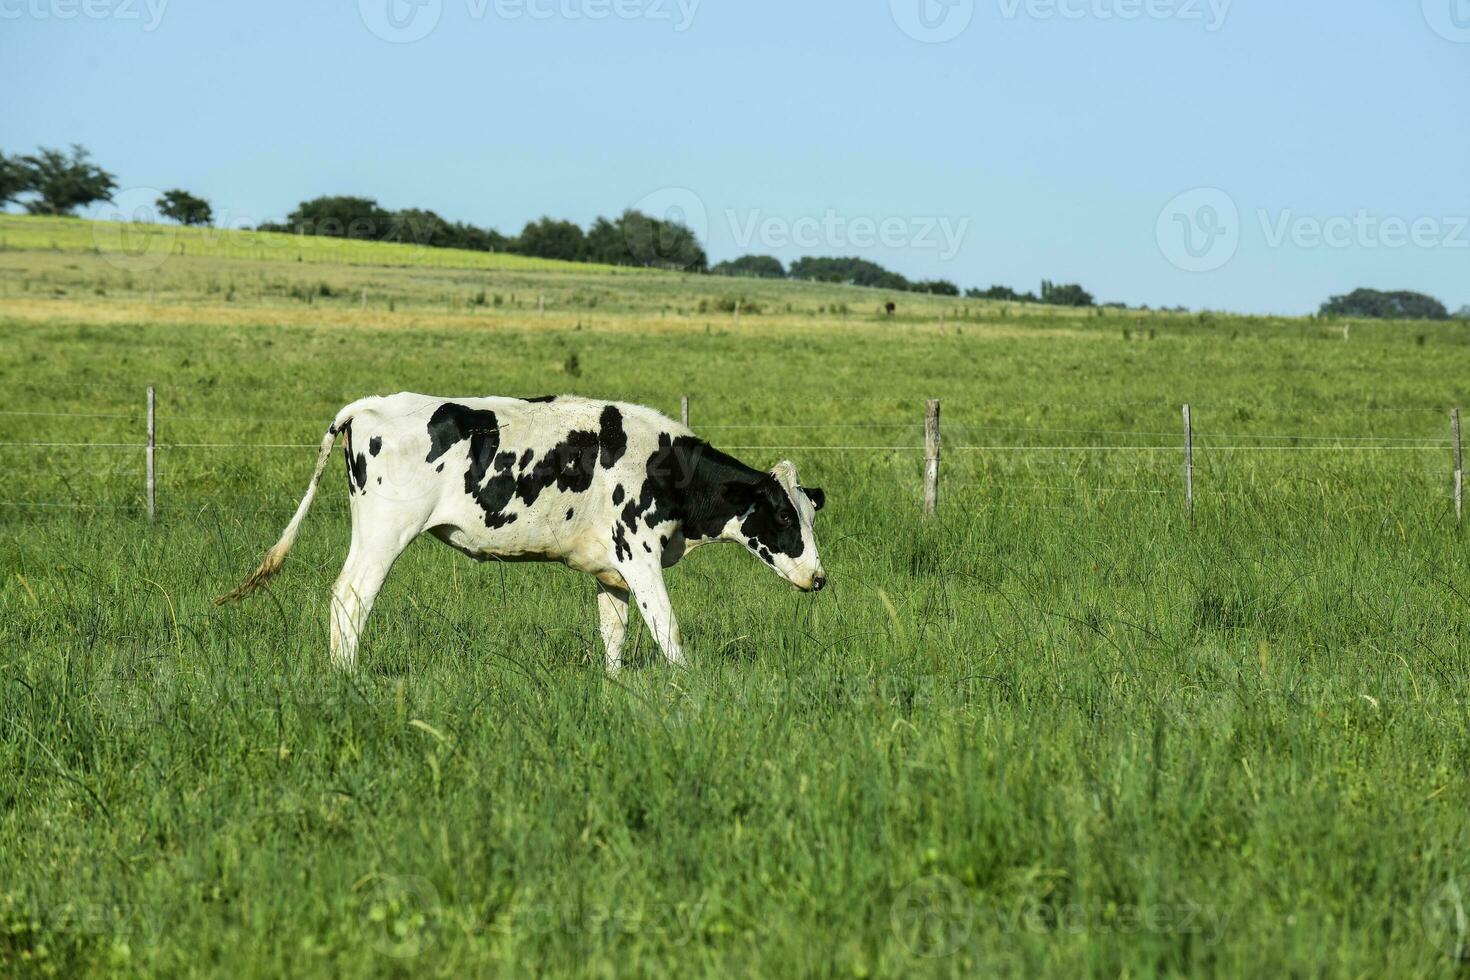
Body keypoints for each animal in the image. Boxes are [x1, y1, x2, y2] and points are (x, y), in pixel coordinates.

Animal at [217, 393, 829, 675]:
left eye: (810, 514)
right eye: (783, 517)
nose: (820, 578)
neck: (665, 465)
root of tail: (374, 403)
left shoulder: (611, 570)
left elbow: (613, 635)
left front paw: (616, 685)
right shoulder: (638, 552)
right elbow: (667, 628)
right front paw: (686, 685)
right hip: (385, 531)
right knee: (350, 597)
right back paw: (346, 674)